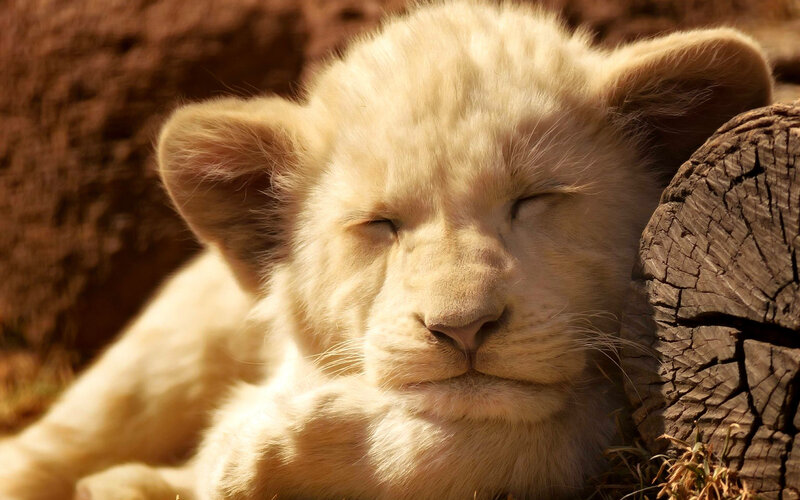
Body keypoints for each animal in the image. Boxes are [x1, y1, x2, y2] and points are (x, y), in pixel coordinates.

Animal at [0, 1, 771, 499]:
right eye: (380, 224)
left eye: (536, 198)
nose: (462, 327)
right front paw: (235, 452)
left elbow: (539, 431)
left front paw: (257, 450)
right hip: (169, 351)